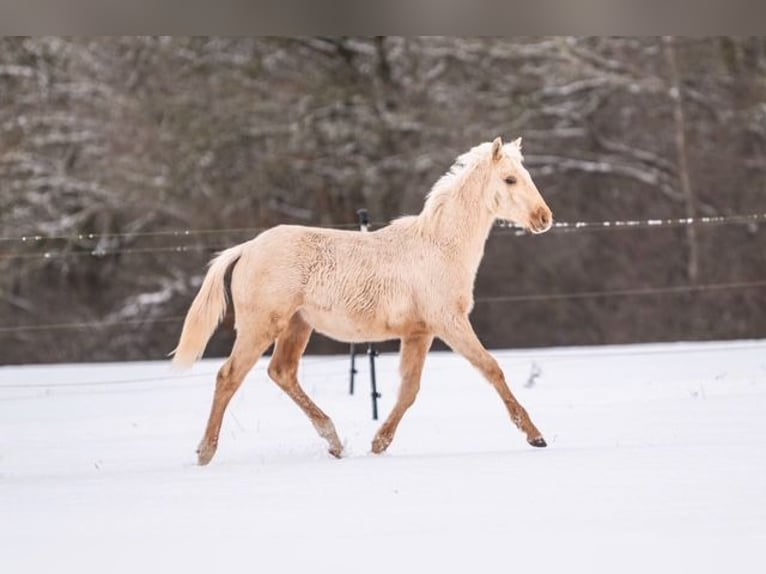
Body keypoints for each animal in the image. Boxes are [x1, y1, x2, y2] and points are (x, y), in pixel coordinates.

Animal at [174, 137, 556, 466]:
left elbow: (409, 390)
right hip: (261, 327)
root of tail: (248, 248)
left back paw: (334, 442)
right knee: (229, 376)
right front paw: (535, 436)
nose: (544, 218)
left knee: (282, 372)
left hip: (297, 326)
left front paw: (379, 443)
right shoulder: (449, 322)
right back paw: (205, 453)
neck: (440, 247)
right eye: (509, 179)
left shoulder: (419, 333)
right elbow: (491, 368)